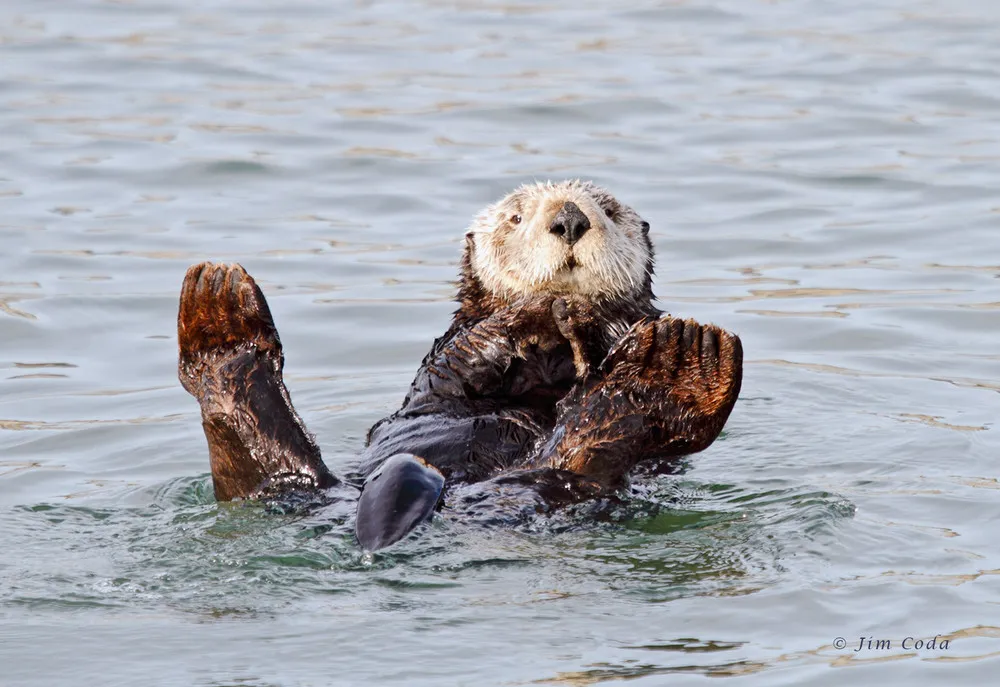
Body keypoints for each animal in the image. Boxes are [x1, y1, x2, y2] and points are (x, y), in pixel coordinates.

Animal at [178, 180, 744, 552]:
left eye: (606, 210)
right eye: (516, 218)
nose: (569, 219)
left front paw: (577, 317)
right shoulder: (447, 351)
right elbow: (462, 363)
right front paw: (540, 311)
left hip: (561, 486)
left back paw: (674, 363)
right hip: (302, 492)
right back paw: (222, 322)